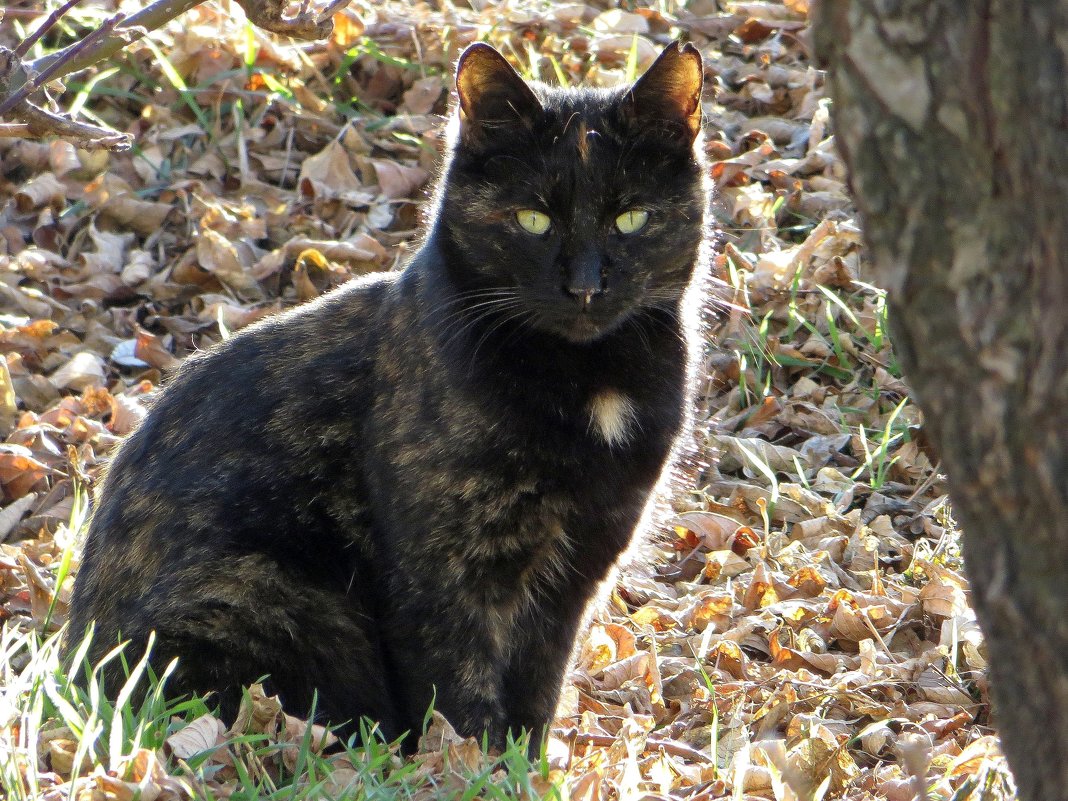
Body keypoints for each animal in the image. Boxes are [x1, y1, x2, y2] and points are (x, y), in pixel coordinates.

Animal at [71, 37, 713, 751]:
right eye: (533, 219)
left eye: (631, 218)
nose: (585, 287)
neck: (588, 383)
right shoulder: (442, 568)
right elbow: (460, 687)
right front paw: (471, 762)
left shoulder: (577, 569)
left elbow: (539, 683)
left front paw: (527, 759)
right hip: (269, 595)